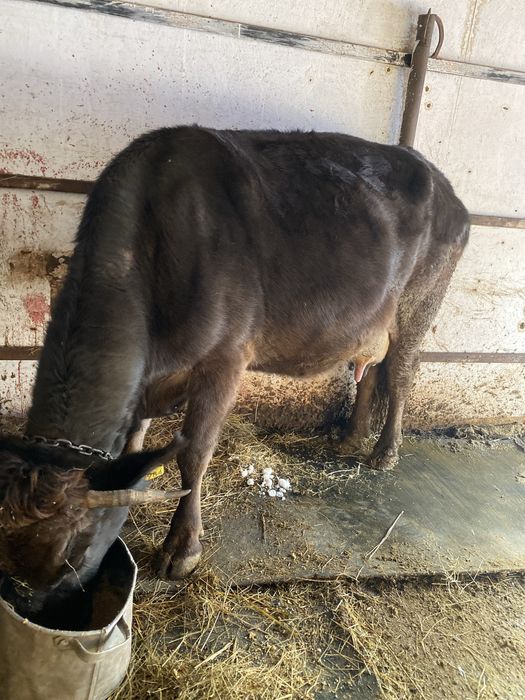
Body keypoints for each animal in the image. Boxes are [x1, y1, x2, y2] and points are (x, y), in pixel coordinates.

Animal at [0, 126, 469, 613]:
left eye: (73, 554)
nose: (30, 609)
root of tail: (439, 181)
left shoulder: (225, 359)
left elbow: (194, 452)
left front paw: (182, 549)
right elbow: (136, 440)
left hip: (419, 304)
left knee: (401, 374)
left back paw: (385, 451)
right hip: (373, 321)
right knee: (372, 372)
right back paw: (351, 437)